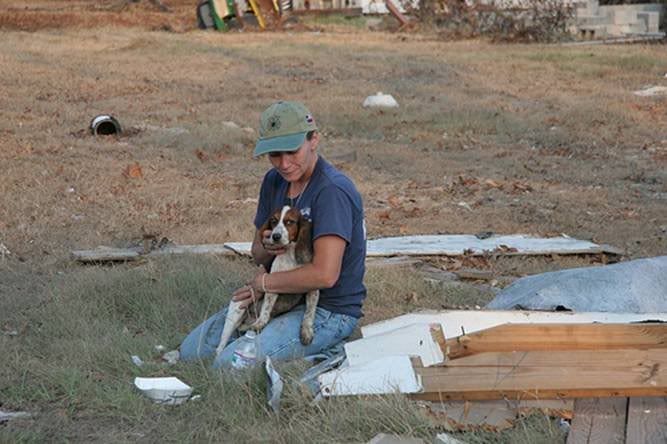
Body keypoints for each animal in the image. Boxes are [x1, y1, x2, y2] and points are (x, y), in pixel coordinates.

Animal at [214, 206, 318, 360]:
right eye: (273, 221)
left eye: (289, 222)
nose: (275, 236)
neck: (289, 255)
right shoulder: (272, 284)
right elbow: (266, 308)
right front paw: (260, 323)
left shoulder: (313, 289)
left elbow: (309, 313)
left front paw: (306, 331)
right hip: (235, 312)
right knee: (221, 345)